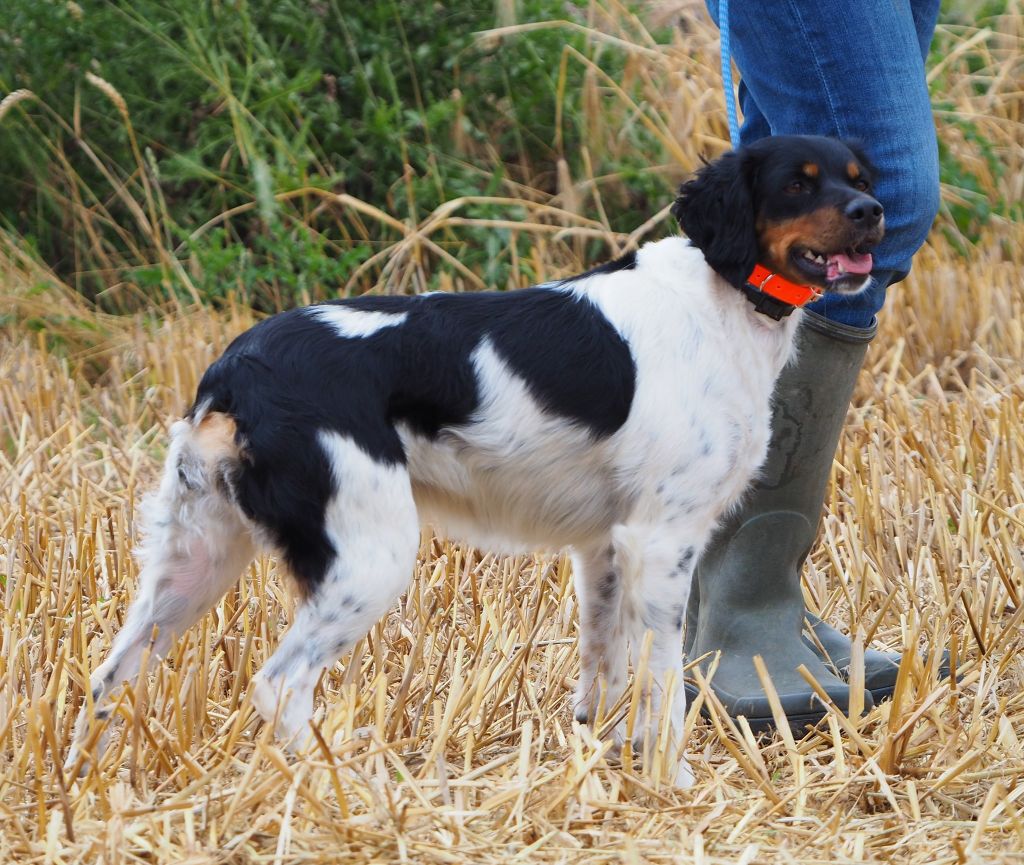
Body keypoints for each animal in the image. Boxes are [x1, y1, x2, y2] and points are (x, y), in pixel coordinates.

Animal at [66, 133, 880, 782]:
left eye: (857, 176)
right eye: (798, 182)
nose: (872, 212)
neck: (721, 294)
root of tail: (236, 368)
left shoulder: (605, 547)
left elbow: (604, 671)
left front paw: (603, 760)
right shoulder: (662, 539)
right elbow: (660, 680)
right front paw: (672, 781)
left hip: (195, 560)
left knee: (108, 677)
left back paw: (85, 787)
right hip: (367, 556)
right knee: (279, 684)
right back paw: (347, 789)